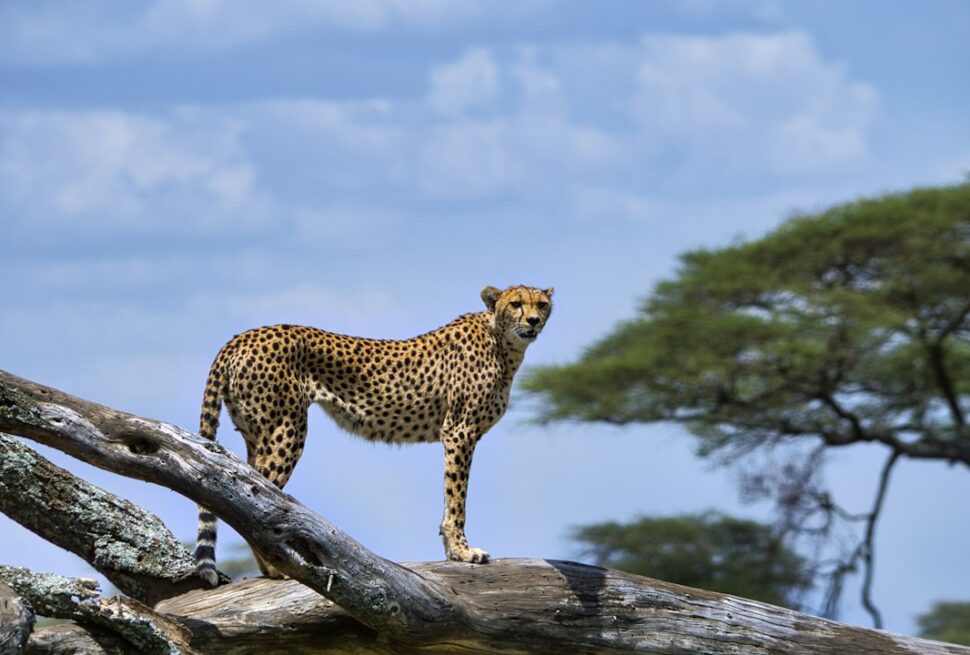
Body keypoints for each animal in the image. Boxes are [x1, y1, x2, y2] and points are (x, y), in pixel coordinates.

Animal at [194, 284, 553, 586]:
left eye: (542, 304)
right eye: (517, 303)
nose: (534, 321)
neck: (503, 342)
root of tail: (242, 337)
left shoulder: (460, 433)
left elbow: (451, 497)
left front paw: (454, 551)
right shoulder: (459, 431)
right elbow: (457, 497)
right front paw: (463, 552)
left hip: (257, 434)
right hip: (286, 430)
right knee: (252, 498)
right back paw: (276, 569)